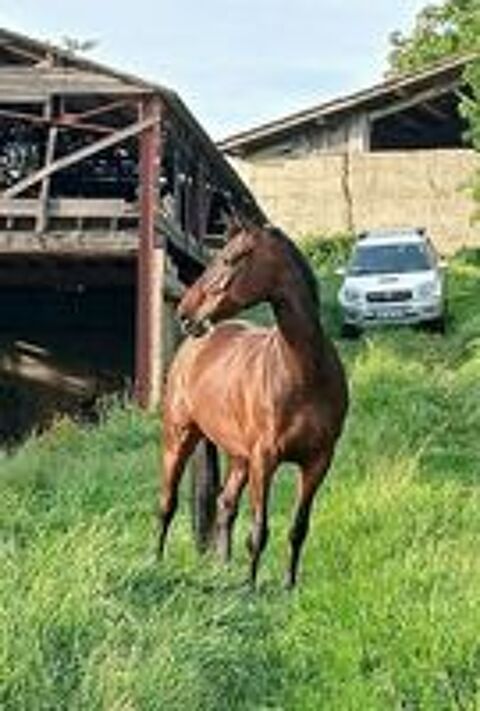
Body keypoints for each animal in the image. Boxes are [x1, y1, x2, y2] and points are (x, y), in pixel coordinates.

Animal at [159, 222, 348, 589]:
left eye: (229, 259)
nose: (185, 313)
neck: (304, 372)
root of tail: (192, 347)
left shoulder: (318, 461)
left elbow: (298, 529)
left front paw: (289, 586)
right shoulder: (266, 459)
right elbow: (258, 532)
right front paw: (249, 588)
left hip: (239, 458)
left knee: (225, 504)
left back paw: (222, 567)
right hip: (180, 438)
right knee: (167, 504)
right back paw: (154, 562)